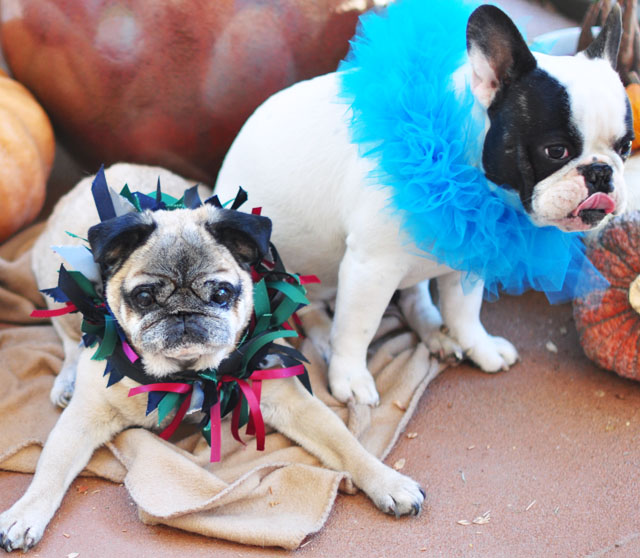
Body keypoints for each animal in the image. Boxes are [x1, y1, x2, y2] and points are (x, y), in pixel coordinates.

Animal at [214, 3, 632, 406]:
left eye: (626, 147)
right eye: (555, 151)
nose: (601, 172)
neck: (453, 155)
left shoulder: (472, 250)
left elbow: (464, 311)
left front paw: (477, 345)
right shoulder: (371, 268)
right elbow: (356, 328)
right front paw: (350, 377)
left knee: (415, 296)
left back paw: (437, 333)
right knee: (314, 308)